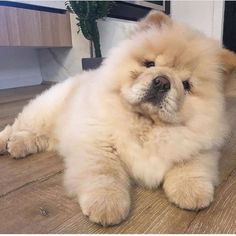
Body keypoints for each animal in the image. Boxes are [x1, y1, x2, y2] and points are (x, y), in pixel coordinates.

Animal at [0, 11, 236, 227]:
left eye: (186, 85)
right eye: (149, 64)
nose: (161, 82)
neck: (146, 124)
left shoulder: (200, 147)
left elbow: (192, 164)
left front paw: (192, 192)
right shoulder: (98, 144)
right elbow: (105, 173)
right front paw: (106, 205)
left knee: (39, 138)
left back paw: (18, 146)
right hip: (42, 112)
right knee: (17, 125)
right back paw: (6, 143)